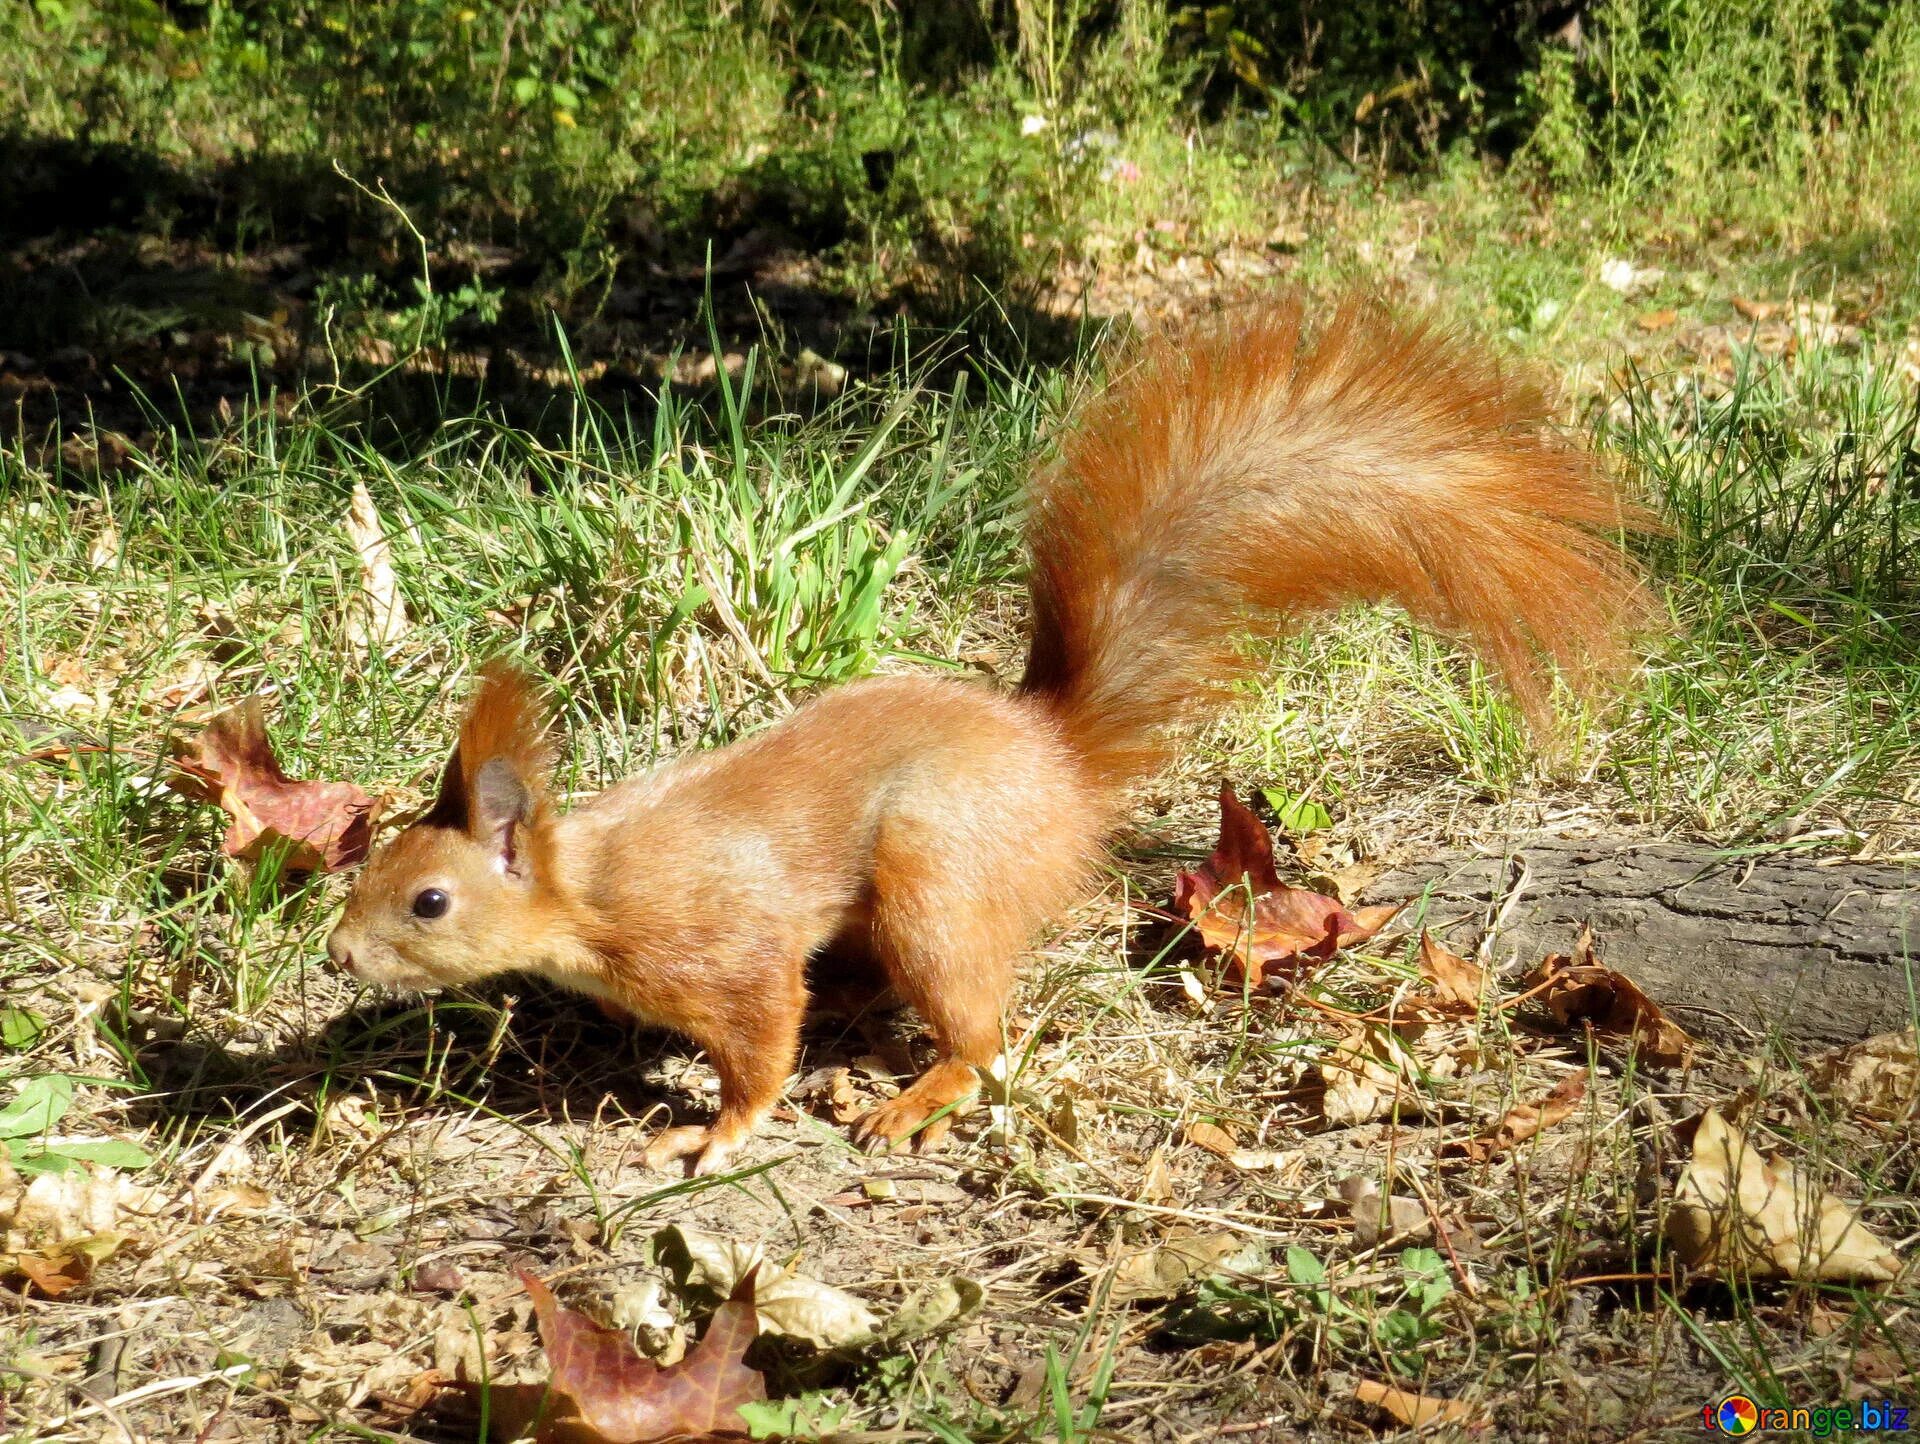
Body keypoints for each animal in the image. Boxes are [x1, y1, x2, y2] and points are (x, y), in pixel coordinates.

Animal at [322, 293, 1643, 1175]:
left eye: (429, 900)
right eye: (373, 861)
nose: (336, 955)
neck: (589, 888)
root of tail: (1052, 761)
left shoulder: (724, 952)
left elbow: (760, 1045)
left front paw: (713, 1131)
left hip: (937, 876)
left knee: (985, 1035)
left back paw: (916, 1094)